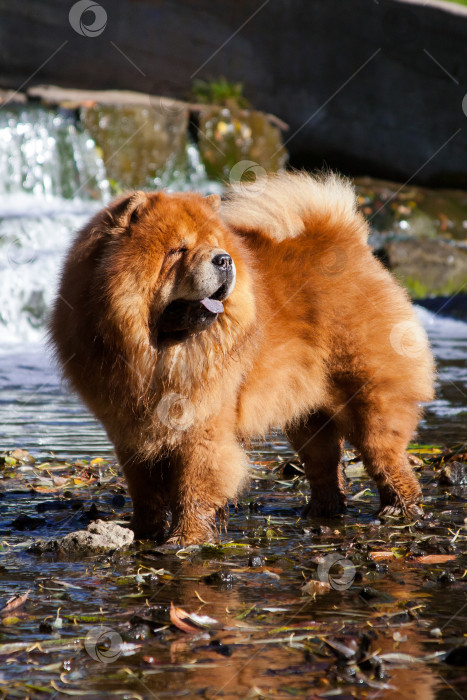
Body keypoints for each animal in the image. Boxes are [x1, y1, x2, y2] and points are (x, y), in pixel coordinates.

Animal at [50, 172, 436, 544]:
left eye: (215, 245)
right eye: (178, 250)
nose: (224, 259)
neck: (159, 352)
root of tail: (345, 238)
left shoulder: (202, 427)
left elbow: (193, 487)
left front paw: (185, 538)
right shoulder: (130, 431)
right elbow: (144, 489)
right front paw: (144, 531)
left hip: (369, 398)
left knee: (387, 457)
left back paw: (401, 511)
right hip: (307, 415)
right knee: (323, 463)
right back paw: (323, 511)